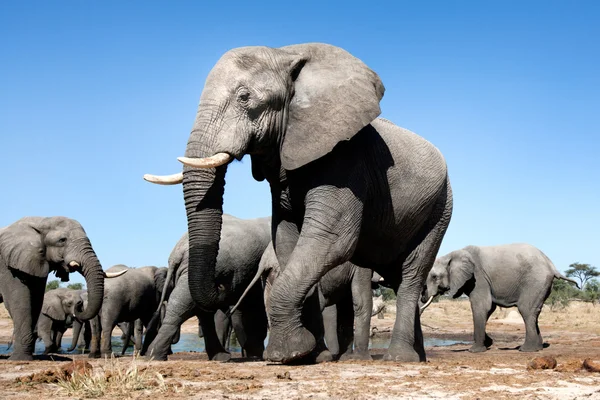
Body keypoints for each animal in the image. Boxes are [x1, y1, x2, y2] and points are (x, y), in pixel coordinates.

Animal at [0, 217, 124, 360]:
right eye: (62, 240)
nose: (80, 304)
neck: (39, 220)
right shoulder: (8, 265)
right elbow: (19, 302)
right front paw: (20, 359)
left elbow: (36, 301)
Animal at [143, 216, 270, 362]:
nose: (222, 286)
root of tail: (177, 252)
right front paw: (257, 355)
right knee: (184, 307)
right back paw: (155, 356)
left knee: (198, 310)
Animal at [420, 244, 580, 354]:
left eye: (434, 277)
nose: (423, 297)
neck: (451, 255)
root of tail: (552, 266)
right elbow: (489, 308)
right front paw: (488, 343)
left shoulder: (478, 278)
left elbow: (481, 306)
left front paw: (475, 350)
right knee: (534, 312)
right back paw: (538, 347)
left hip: (535, 280)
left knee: (526, 310)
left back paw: (526, 350)